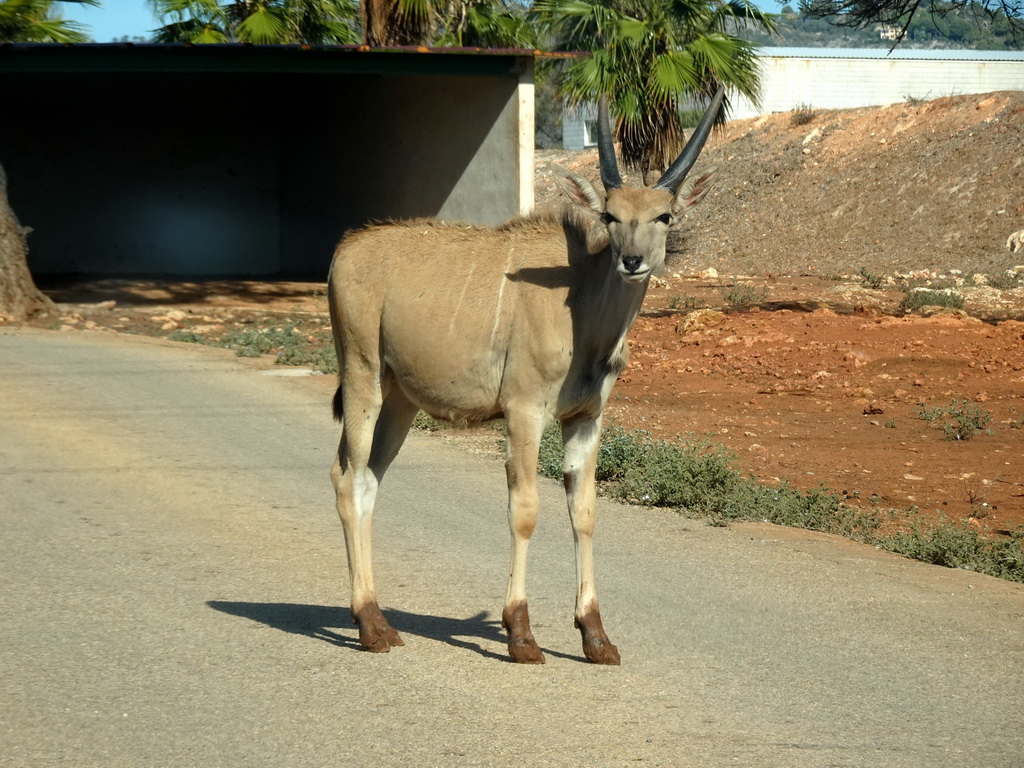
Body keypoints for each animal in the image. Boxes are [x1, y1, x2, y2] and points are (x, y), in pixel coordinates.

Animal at [329, 87, 729, 663]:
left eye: (665, 216)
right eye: (609, 215)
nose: (632, 261)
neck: (578, 301)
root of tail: (345, 250)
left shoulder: (586, 420)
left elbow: (583, 511)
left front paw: (596, 637)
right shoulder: (522, 413)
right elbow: (525, 509)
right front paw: (521, 634)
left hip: (399, 400)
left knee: (366, 481)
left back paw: (378, 619)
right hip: (362, 376)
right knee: (346, 478)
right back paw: (367, 625)